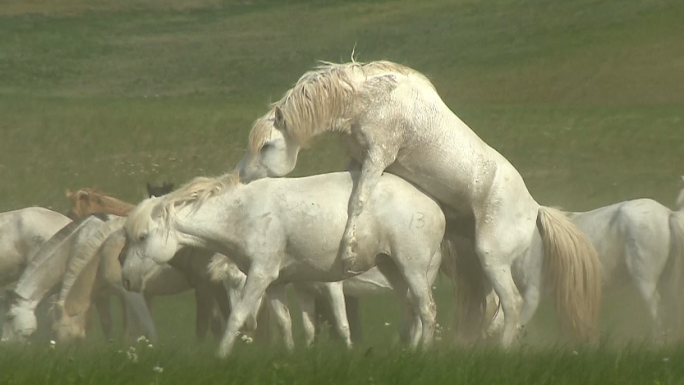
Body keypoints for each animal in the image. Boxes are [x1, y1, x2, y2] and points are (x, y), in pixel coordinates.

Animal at [120, 171, 446, 356]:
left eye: (142, 236)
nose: (125, 279)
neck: (243, 214)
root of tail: (436, 209)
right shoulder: (276, 283)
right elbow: (285, 322)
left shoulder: (260, 275)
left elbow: (236, 316)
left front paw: (220, 356)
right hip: (394, 269)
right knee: (410, 310)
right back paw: (405, 350)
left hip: (412, 269)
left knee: (426, 310)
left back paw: (424, 353)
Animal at [238, 59, 600, 344]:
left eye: (266, 145)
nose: (242, 177)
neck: (369, 98)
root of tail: (535, 209)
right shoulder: (357, 160)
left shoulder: (377, 157)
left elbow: (358, 201)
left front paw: (349, 252)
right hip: (481, 265)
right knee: (495, 311)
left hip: (492, 257)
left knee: (511, 305)